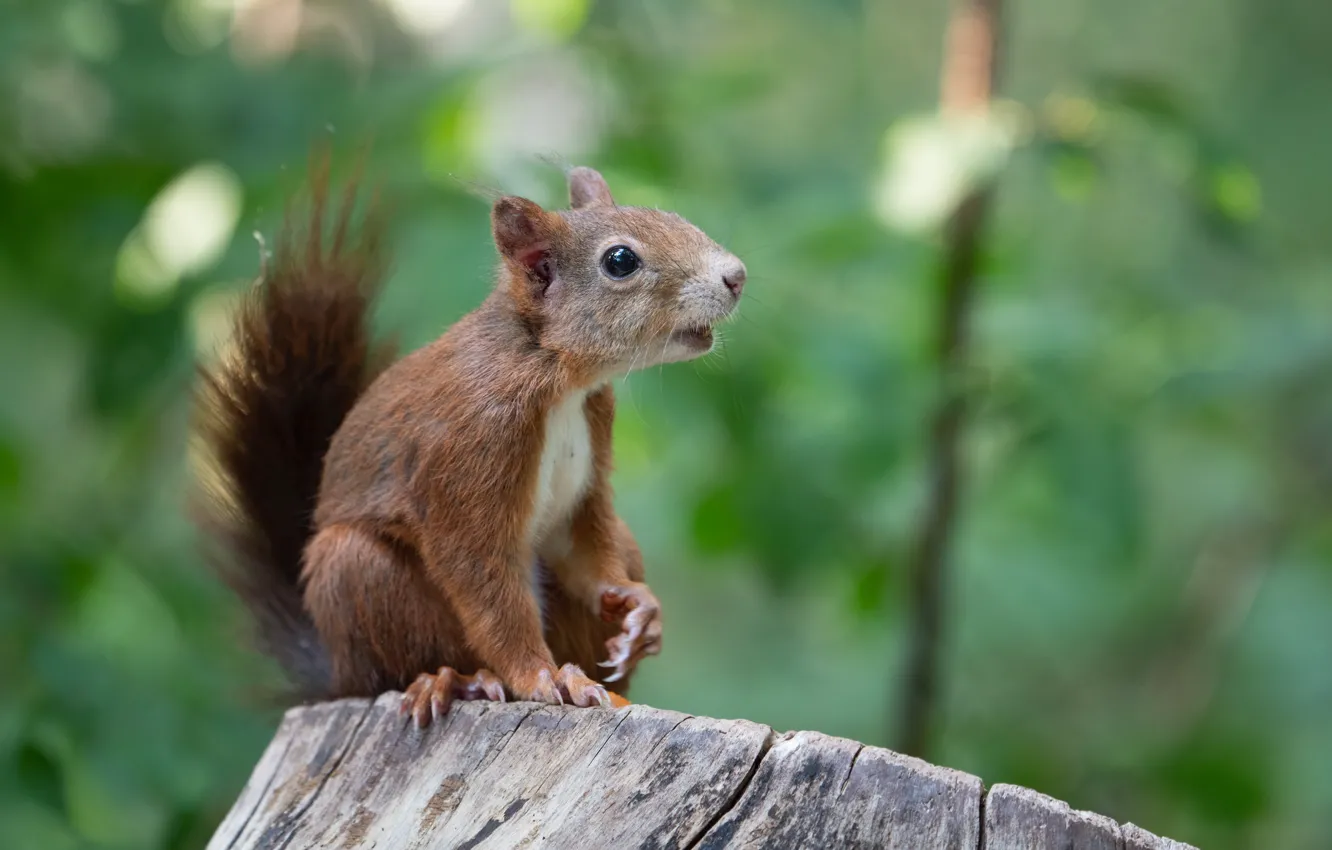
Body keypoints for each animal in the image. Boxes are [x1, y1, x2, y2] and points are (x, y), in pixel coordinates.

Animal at [193, 156, 745, 730]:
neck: (551, 372)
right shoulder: (470, 448)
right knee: (391, 661)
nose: (736, 276)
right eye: (620, 261)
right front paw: (541, 678)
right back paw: (456, 681)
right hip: (357, 577)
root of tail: (336, 674)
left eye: (671, 215)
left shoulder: (589, 458)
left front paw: (637, 607)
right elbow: (483, 580)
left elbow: (583, 547)